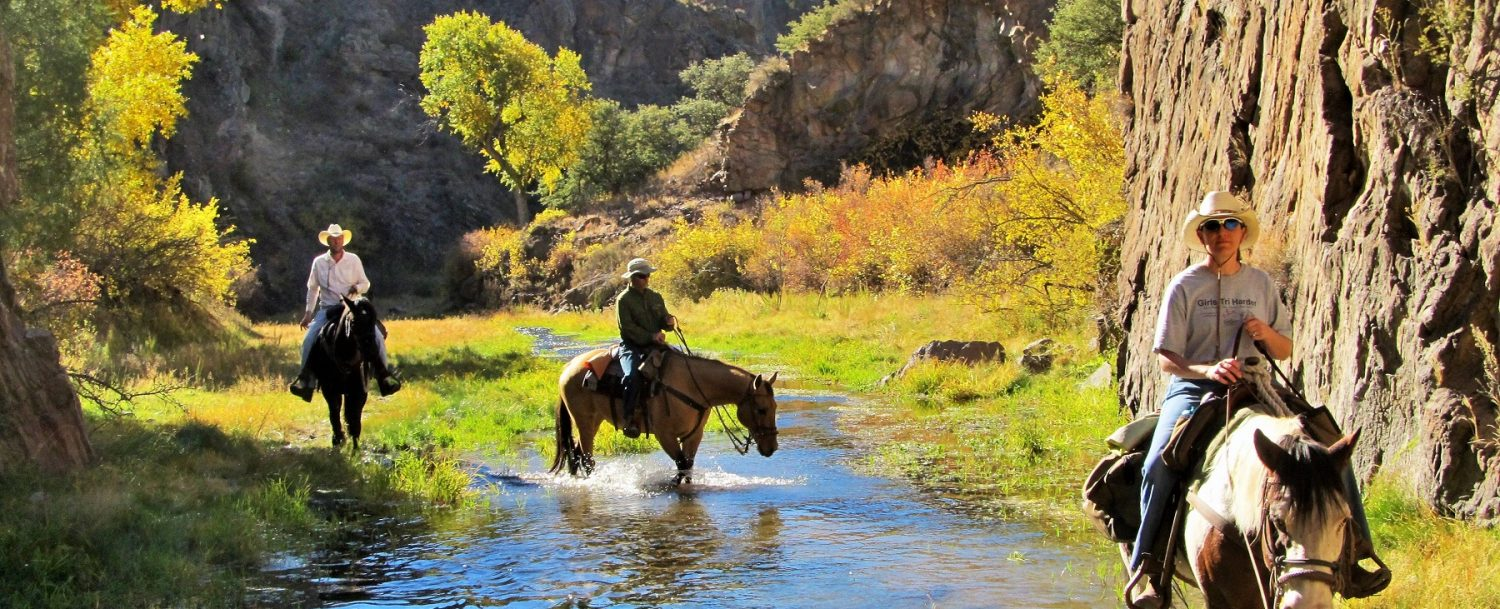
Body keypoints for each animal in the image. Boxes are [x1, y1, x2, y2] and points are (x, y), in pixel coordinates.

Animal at [306, 297, 384, 450]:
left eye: (373, 321)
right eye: (353, 323)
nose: (372, 351)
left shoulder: (359, 390)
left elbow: (354, 415)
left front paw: (355, 446)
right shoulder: (329, 389)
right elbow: (334, 412)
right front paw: (338, 439)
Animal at [555, 348, 786, 486]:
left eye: (775, 406)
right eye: (762, 409)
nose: (772, 447)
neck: (693, 386)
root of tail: (568, 367)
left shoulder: (694, 435)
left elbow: (688, 467)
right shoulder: (665, 435)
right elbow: (682, 465)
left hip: (594, 421)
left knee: (576, 453)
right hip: (584, 421)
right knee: (586, 458)